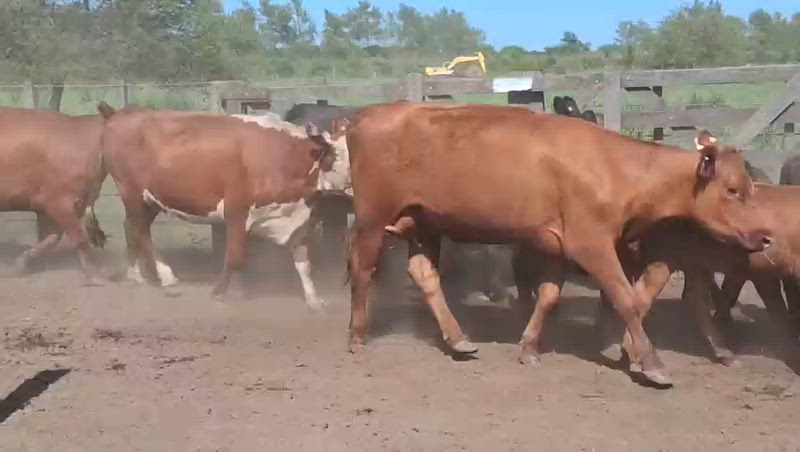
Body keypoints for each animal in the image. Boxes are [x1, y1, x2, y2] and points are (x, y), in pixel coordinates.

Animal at [97, 104, 351, 309]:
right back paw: (167, 277)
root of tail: (122, 115)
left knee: (131, 227)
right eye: (338, 156)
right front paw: (219, 292)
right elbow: (235, 256)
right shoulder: (236, 212)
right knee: (139, 230)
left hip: (150, 200)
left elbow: (303, 262)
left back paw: (134, 274)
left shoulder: (296, 220)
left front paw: (313, 299)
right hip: (132, 192)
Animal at [344, 101, 771, 386]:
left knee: (424, 274)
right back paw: (357, 337)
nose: (766, 236)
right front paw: (650, 363)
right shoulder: (592, 245)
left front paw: (529, 347)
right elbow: (626, 299)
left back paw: (459, 338)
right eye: (732, 189)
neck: (615, 167)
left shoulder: (557, 247)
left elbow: (548, 297)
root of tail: (368, 114)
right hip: (372, 218)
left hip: (424, 222)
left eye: (750, 187)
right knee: (362, 269)